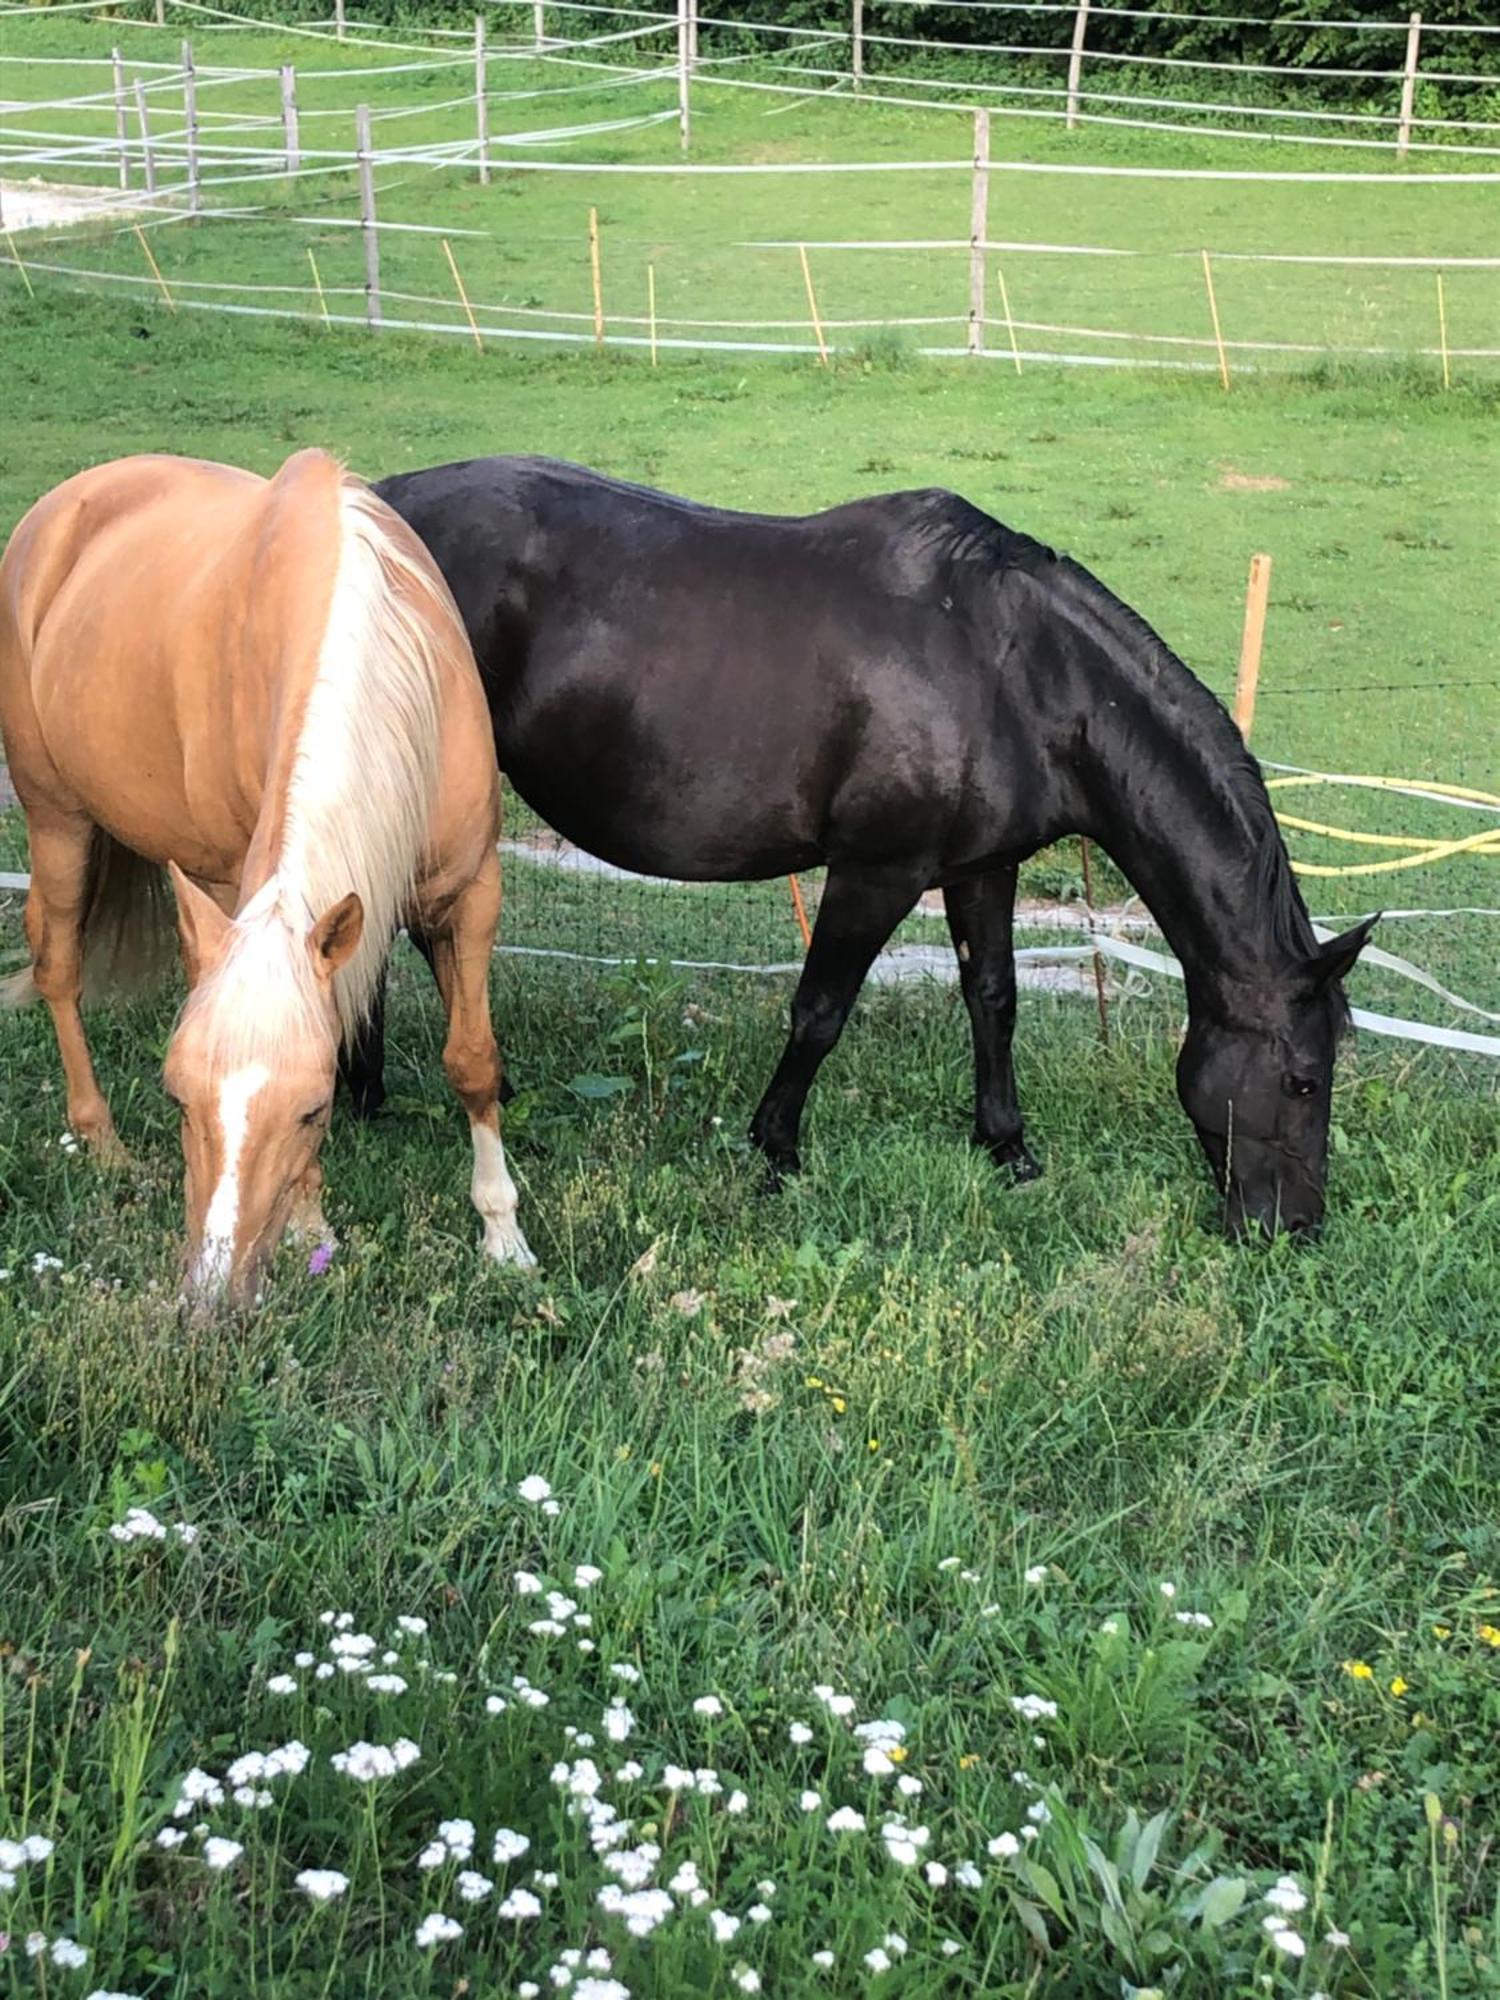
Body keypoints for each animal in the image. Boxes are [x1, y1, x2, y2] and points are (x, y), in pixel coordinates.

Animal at [0, 446, 536, 1304]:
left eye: (313, 1109)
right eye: (178, 1097)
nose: (215, 1292)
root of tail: (57, 512)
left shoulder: (471, 892)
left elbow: (473, 1060)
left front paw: (502, 1232)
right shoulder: (229, 884)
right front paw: (312, 1227)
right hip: (58, 818)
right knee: (57, 964)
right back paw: (101, 1137)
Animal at [346, 458, 1384, 1232]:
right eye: (1303, 1079)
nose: (1292, 1227)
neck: (1021, 671)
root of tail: (371, 502)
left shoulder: (982, 868)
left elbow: (994, 1000)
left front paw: (1006, 1145)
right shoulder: (876, 872)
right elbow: (820, 1012)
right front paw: (773, 1150)